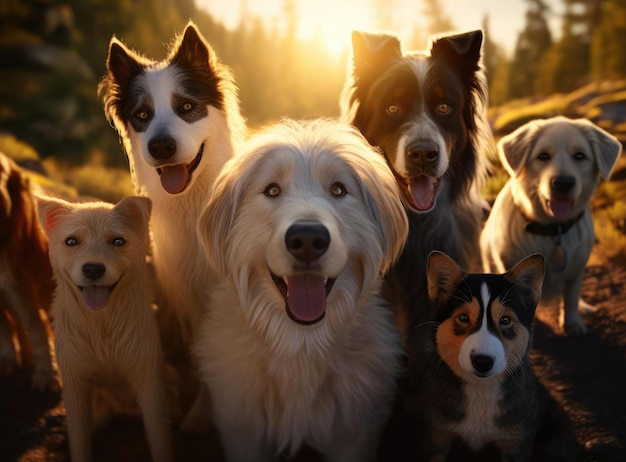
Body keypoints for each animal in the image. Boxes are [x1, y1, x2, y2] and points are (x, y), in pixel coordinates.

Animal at [38, 196, 173, 462]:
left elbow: (160, 439)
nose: (93, 269)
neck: (102, 325)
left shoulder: (150, 380)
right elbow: (80, 440)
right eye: (72, 241)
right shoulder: (75, 385)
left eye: (118, 241)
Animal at [195, 120, 410, 462]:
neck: (301, 342)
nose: (308, 239)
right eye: (272, 190)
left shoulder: (355, 433)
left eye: (338, 189)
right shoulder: (243, 428)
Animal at [420, 253, 580, 462]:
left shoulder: (515, 444)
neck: (480, 390)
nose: (482, 361)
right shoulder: (437, 436)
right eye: (463, 318)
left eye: (505, 320)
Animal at [478, 116, 620, 336]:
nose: (563, 183)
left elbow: (571, 298)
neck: (552, 229)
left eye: (580, 156)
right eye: (543, 156)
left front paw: (572, 323)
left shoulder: (576, 269)